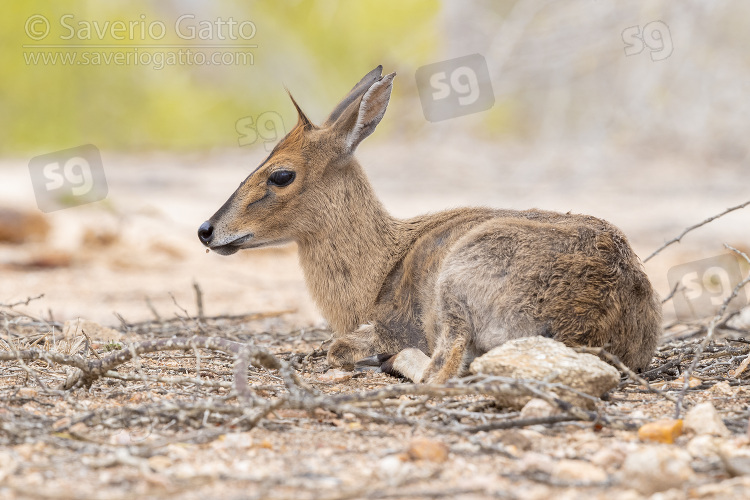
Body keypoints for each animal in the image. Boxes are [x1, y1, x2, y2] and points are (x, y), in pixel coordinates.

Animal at [200, 64, 664, 380]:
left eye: (281, 174)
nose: (207, 230)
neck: (382, 263)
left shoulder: (395, 326)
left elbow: (341, 348)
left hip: (454, 292)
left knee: (440, 370)